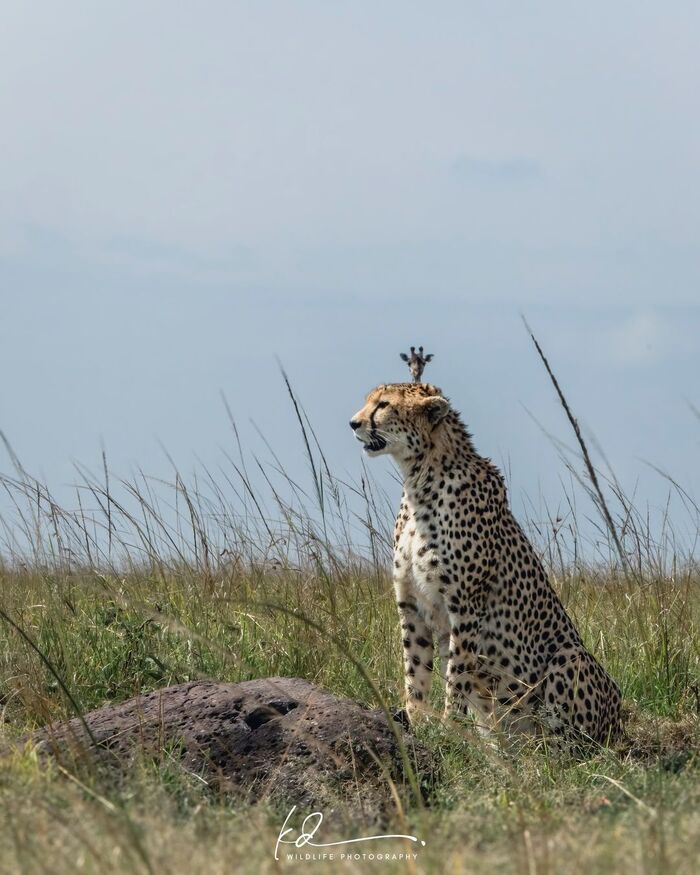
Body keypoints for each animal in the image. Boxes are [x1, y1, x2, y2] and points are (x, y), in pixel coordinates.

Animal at [350, 384, 624, 744]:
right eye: (369, 401)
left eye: (383, 405)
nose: (353, 423)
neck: (420, 479)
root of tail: (618, 721)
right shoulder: (411, 604)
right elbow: (415, 669)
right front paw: (415, 720)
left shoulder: (465, 605)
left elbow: (457, 673)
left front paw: (447, 728)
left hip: (571, 658)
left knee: (573, 742)